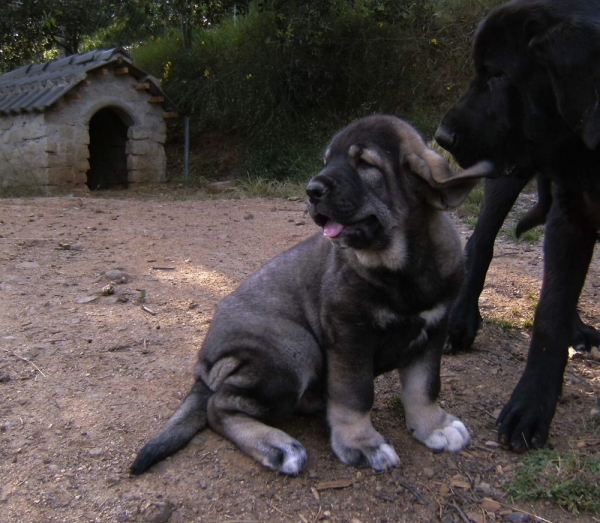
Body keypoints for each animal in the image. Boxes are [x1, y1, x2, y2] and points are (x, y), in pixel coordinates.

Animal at [131, 114, 492, 474]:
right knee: (219, 408)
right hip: (296, 348)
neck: (399, 265)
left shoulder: (435, 327)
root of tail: (202, 365)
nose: (312, 191)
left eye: (365, 163)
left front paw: (433, 426)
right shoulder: (349, 336)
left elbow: (425, 386)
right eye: (327, 160)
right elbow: (356, 394)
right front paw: (361, 443)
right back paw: (277, 446)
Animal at [434, 0, 600, 452]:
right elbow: (548, 314)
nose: (442, 136)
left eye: (499, 74)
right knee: (481, 241)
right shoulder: (571, 209)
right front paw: (532, 406)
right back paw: (461, 320)